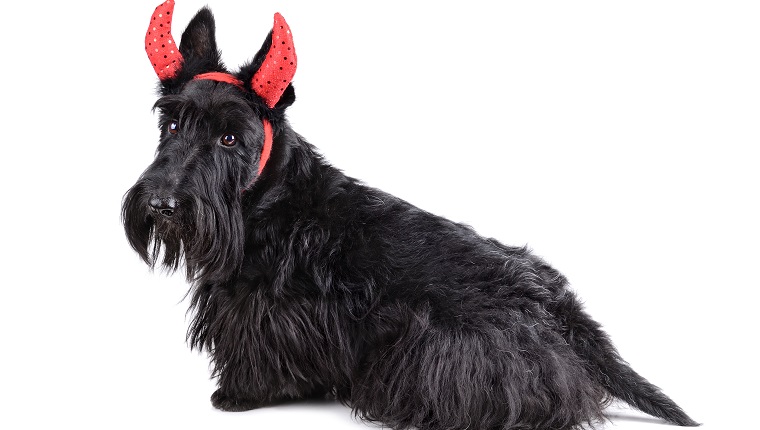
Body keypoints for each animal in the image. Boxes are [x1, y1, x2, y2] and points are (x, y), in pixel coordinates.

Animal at [121, 1, 696, 428]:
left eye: (230, 138)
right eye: (171, 125)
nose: (162, 204)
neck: (271, 199)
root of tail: (561, 308)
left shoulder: (268, 309)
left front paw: (239, 393)